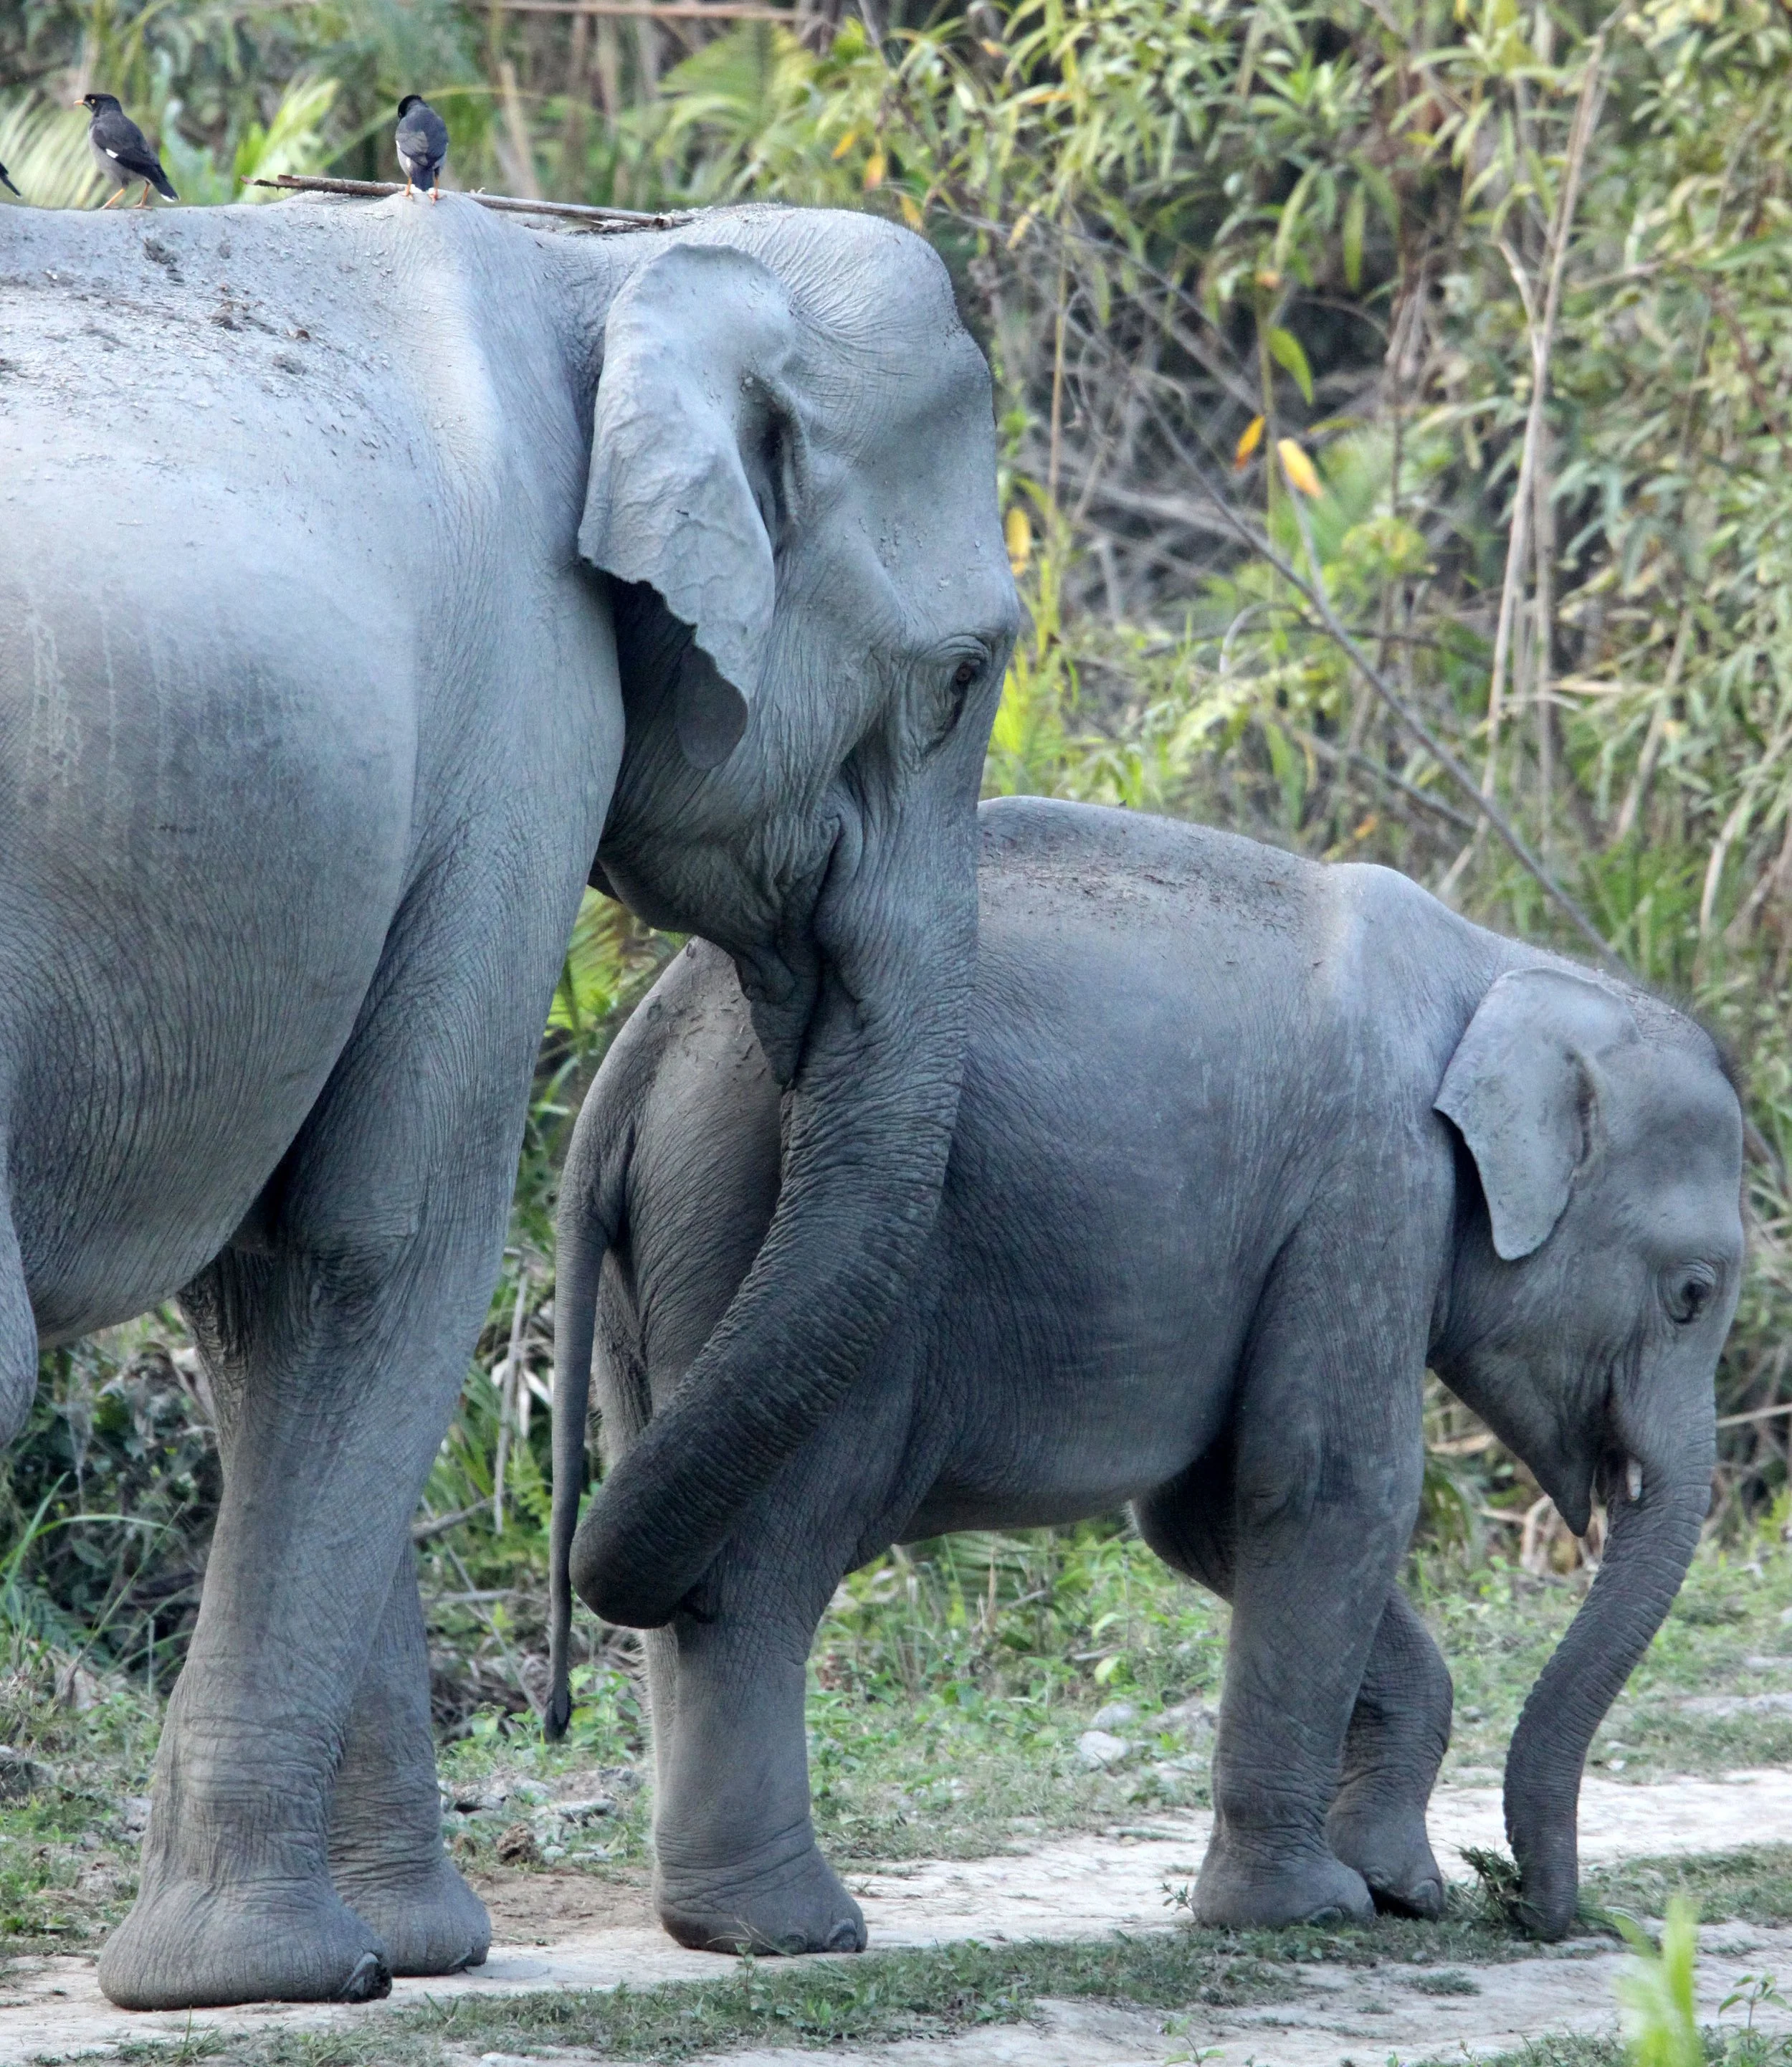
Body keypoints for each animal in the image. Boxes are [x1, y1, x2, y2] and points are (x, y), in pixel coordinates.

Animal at [0, 194, 1018, 2009]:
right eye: (967, 672)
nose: (559, 1694)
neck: (606, 271)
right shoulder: (523, 715)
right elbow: (377, 1235)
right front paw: (270, 1969)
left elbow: (259, 1294)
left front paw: (395, 1946)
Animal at [549, 795, 1744, 1954]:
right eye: (1691, 1292)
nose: (1537, 1908)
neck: (1498, 967)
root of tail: (637, 1057)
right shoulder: (1372, 1174)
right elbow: (1328, 1487)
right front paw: (1312, 1909)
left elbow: (1204, 1513)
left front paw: (1402, 1889)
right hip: (758, 1229)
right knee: (766, 1559)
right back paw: (793, 1928)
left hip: (665, 1263)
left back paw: (717, 1920)